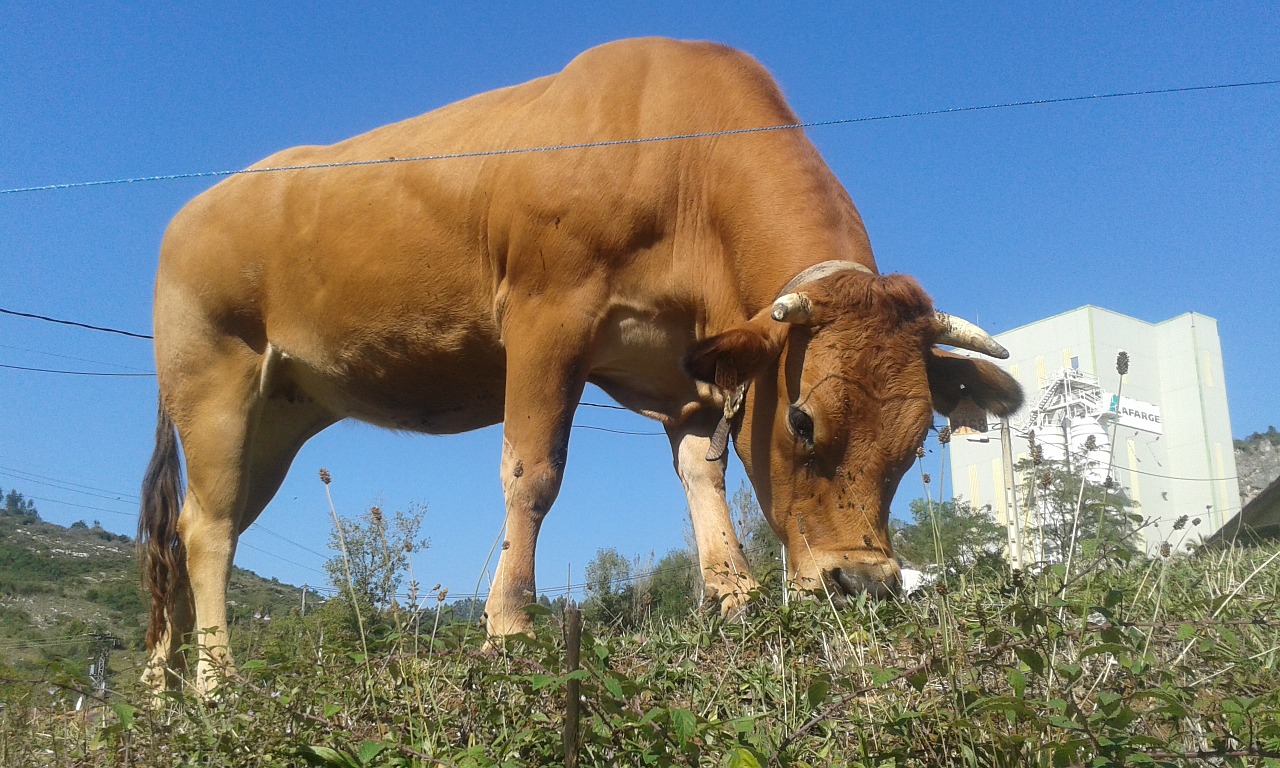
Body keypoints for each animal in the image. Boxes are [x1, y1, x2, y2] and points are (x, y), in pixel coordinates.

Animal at [137, 37, 1018, 696]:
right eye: (804, 421)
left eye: (918, 439)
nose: (863, 585)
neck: (681, 161)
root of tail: (193, 208)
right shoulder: (546, 315)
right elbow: (533, 473)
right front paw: (509, 627)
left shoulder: (680, 369)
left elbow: (703, 474)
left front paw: (735, 601)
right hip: (212, 380)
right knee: (208, 530)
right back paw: (216, 683)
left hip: (281, 412)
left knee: (190, 530)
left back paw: (159, 685)